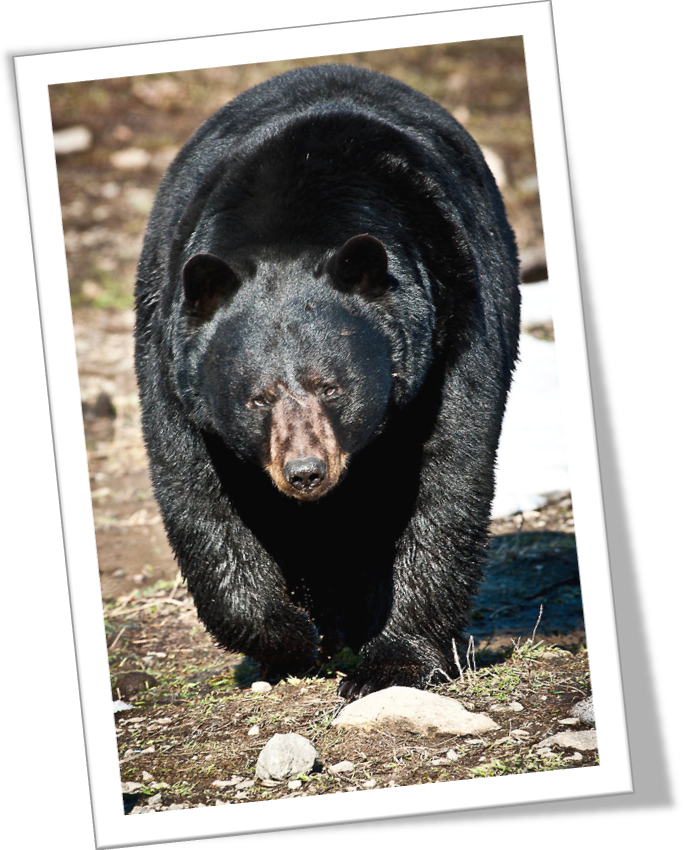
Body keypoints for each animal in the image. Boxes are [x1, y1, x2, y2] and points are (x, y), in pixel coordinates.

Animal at [134, 64, 520, 696]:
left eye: (332, 386)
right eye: (258, 398)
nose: (306, 473)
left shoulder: (454, 323)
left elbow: (447, 476)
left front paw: (394, 662)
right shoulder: (171, 356)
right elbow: (195, 491)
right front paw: (286, 638)